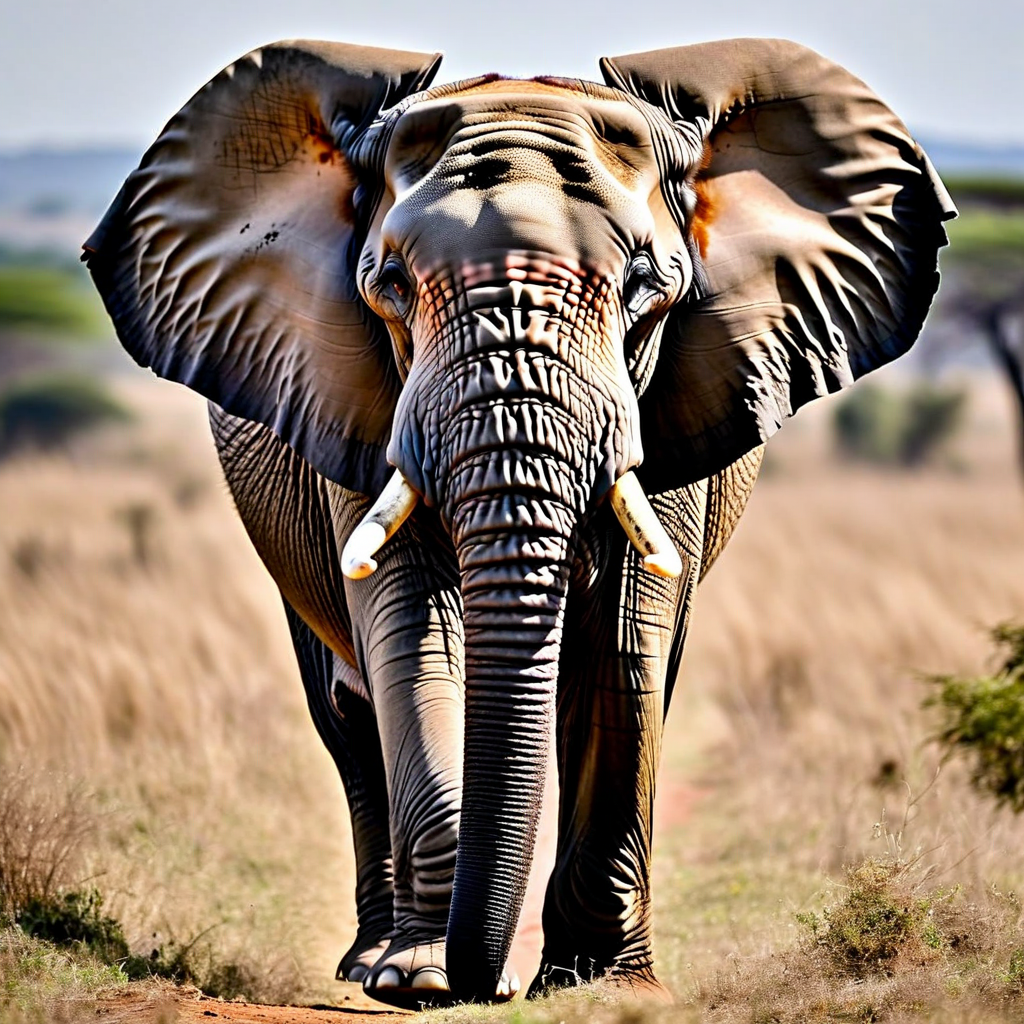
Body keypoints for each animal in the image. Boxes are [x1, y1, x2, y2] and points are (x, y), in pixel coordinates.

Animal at [83, 37, 955, 1007]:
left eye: (645, 287)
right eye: (390, 285)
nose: (483, 982)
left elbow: (623, 640)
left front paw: (599, 985)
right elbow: (412, 629)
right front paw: (422, 979)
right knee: (345, 715)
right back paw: (370, 963)